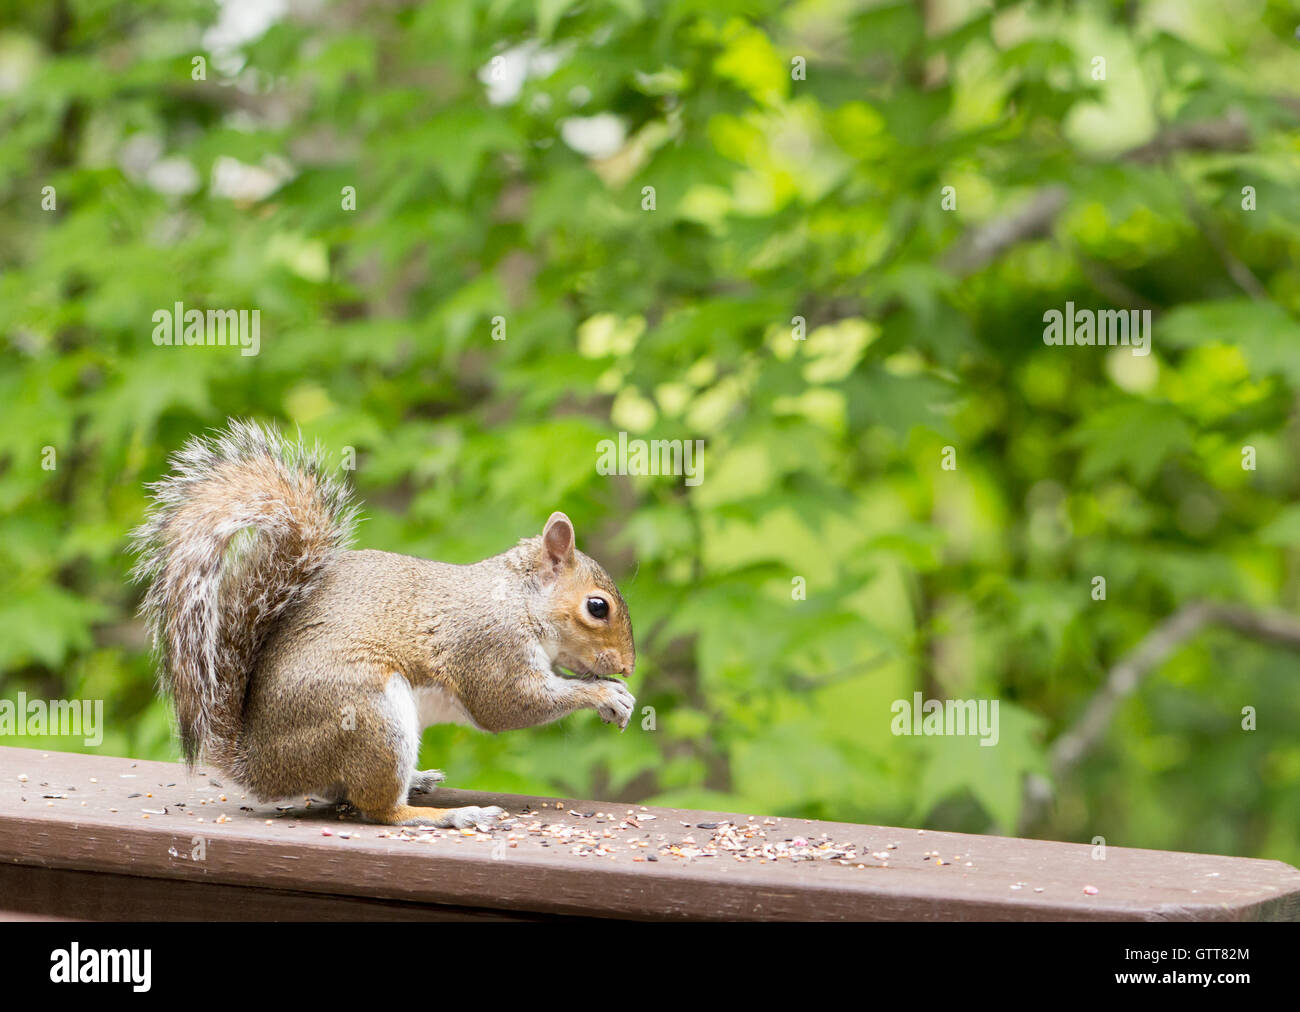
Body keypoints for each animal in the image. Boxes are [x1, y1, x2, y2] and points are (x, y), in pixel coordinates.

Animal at [131, 419, 636, 828]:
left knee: (340, 790)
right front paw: (604, 695)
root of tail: (259, 764)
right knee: (377, 810)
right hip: (369, 712)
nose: (628, 667)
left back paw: (419, 780)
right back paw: (447, 815)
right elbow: (509, 703)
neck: (519, 600)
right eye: (597, 607)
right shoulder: (488, 645)